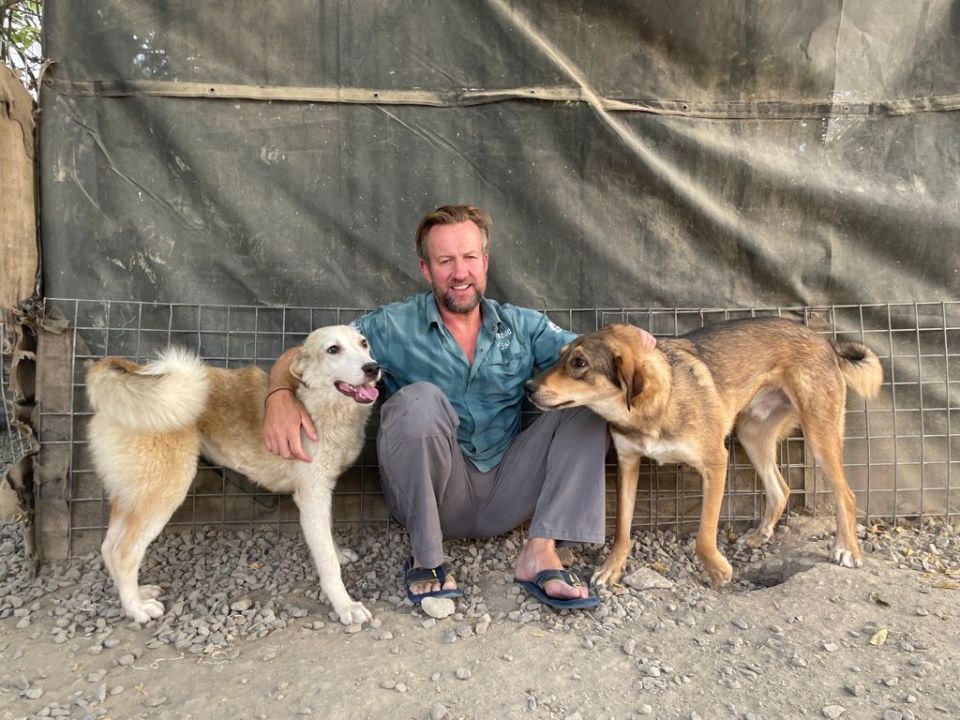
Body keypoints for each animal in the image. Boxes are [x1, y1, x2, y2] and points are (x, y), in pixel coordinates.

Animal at [85, 324, 378, 624]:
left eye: (364, 344)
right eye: (333, 349)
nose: (373, 368)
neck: (318, 406)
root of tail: (136, 371)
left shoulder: (323, 491)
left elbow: (328, 535)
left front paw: (338, 553)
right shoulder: (311, 496)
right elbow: (328, 564)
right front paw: (346, 606)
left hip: (134, 494)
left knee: (108, 547)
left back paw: (137, 594)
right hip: (164, 491)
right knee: (123, 553)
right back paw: (137, 609)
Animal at [524, 318, 884, 588]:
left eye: (579, 363)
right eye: (560, 356)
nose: (528, 387)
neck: (654, 406)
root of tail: (825, 341)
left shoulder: (716, 462)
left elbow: (704, 534)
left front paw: (717, 570)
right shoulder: (628, 464)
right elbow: (622, 529)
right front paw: (612, 567)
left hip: (819, 434)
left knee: (846, 495)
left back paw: (847, 549)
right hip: (752, 434)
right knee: (781, 489)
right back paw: (759, 535)